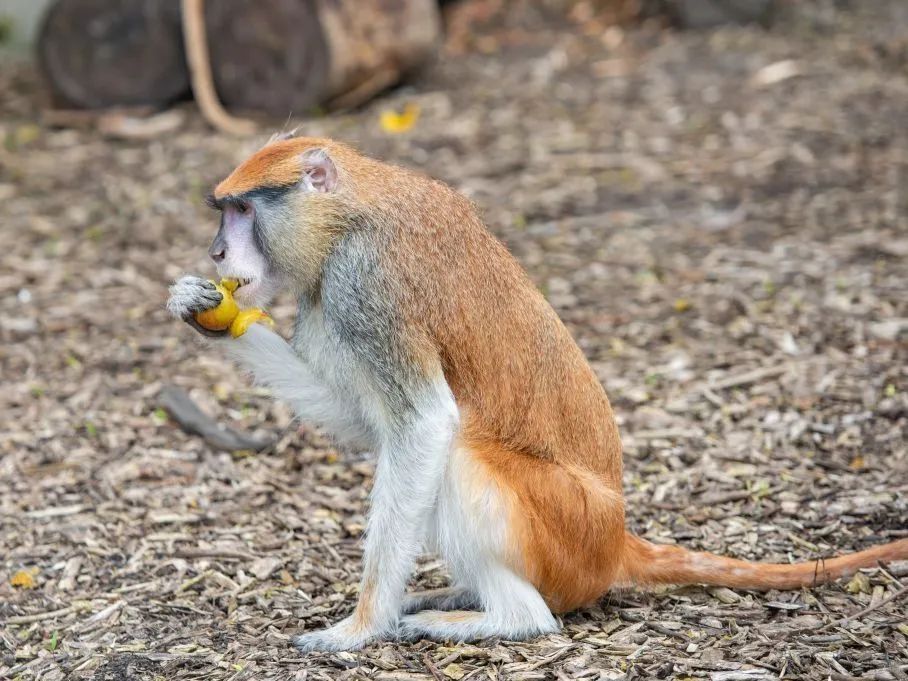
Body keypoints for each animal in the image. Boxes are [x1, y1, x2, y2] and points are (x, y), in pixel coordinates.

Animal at [168, 135, 908, 652]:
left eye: (242, 210)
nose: (216, 253)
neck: (347, 211)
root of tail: (615, 539)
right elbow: (362, 421)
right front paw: (203, 310)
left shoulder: (364, 286)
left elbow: (424, 425)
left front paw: (360, 627)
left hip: (562, 530)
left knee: (461, 457)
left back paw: (505, 617)